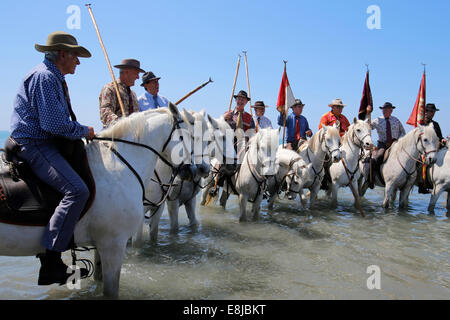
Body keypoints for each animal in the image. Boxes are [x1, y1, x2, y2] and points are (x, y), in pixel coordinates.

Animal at [0, 104, 195, 298]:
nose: (191, 171)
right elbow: (111, 291)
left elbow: (99, 279)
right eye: (189, 137)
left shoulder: (100, 245)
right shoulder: (113, 244)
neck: (115, 165)